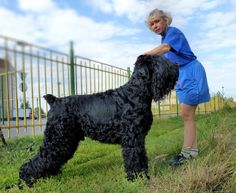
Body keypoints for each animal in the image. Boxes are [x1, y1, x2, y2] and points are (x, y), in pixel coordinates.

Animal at [18, 55, 179, 188]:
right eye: (159, 61)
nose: (176, 65)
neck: (135, 93)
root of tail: (55, 100)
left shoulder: (138, 139)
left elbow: (142, 158)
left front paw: (144, 176)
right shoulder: (132, 139)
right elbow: (134, 160)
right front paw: (136, 179)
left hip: (65, 141)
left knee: (50, 158)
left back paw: (49, 177)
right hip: (57, 137)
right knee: (36, 161)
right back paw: (26, 182)